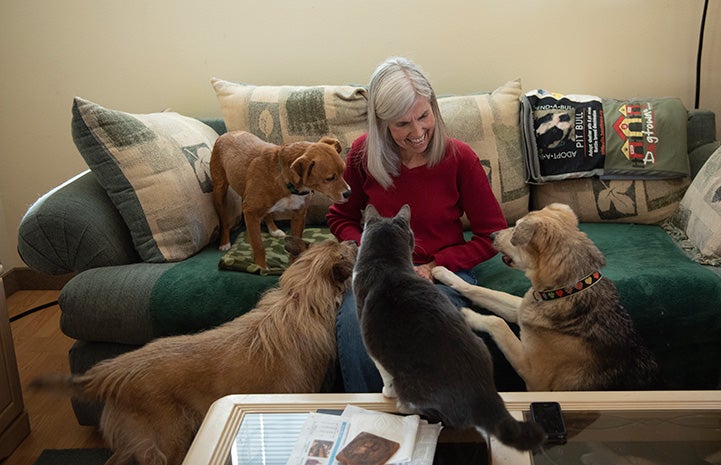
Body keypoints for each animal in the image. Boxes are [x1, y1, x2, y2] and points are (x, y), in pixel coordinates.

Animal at [208, 130, 352, 268]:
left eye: (344, 171)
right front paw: (261, 268)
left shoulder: (299, 214)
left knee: (267, 213)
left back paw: (274, 229)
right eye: (329, 178)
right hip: (220, 191)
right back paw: (225, 242)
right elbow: (258, 245)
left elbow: (297, 242)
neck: (285, 180)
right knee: (224, 219)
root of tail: (227, 134)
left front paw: (293, 265)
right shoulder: (250, 213)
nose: (349, 193)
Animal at [430, 203, 660, 392]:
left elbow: (498, 322)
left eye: (515, 229)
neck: (568, 290)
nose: (492, 235)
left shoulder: (535, 376)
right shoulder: (521, 308)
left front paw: (467, 315)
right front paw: (442, 272)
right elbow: (479, 290)